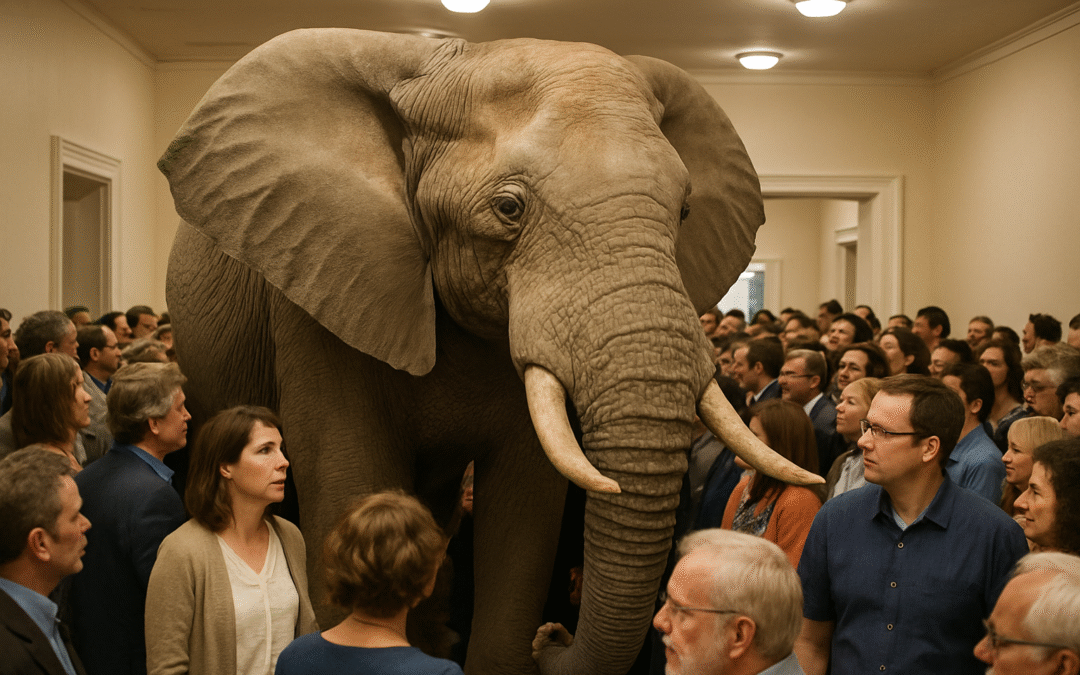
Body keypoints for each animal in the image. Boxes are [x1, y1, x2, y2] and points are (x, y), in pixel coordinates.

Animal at [159, 28, 820, 675]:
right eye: (508, 208)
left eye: (683, 211)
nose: (554, 633)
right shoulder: (317, 289)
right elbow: (350, 487)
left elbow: (524, 512)